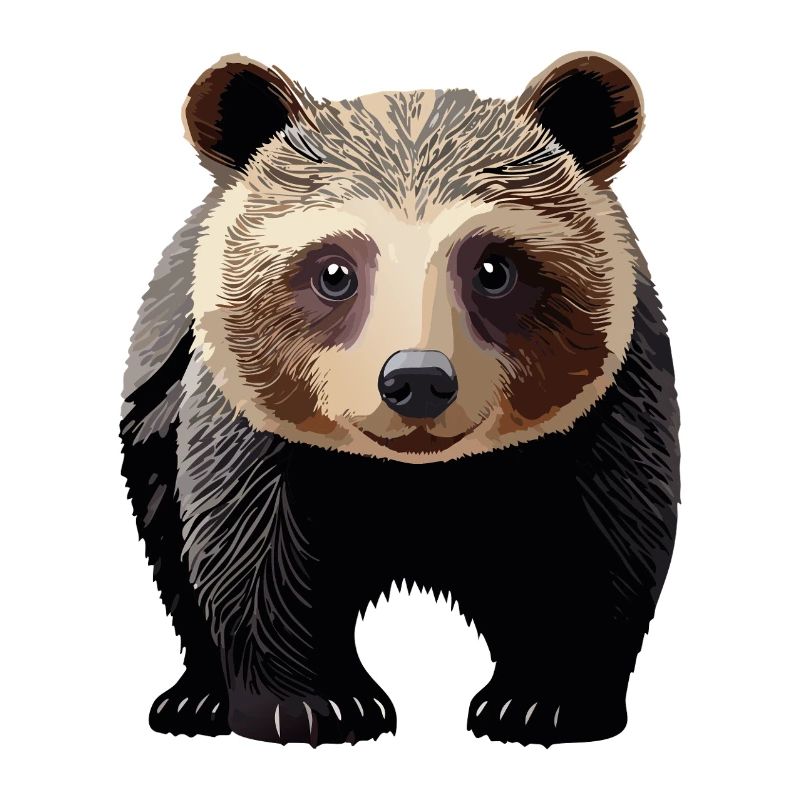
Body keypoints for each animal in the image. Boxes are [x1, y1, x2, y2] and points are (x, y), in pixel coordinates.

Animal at [120, 51, 680, 747]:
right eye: (333, 271)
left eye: (494, 268)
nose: (417, 380)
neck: (415, 475)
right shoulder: (248, 422)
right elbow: (252, 548)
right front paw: (315, 705)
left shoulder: (603, 411)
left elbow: (597, 544)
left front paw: (542, 701)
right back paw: (194, 699)